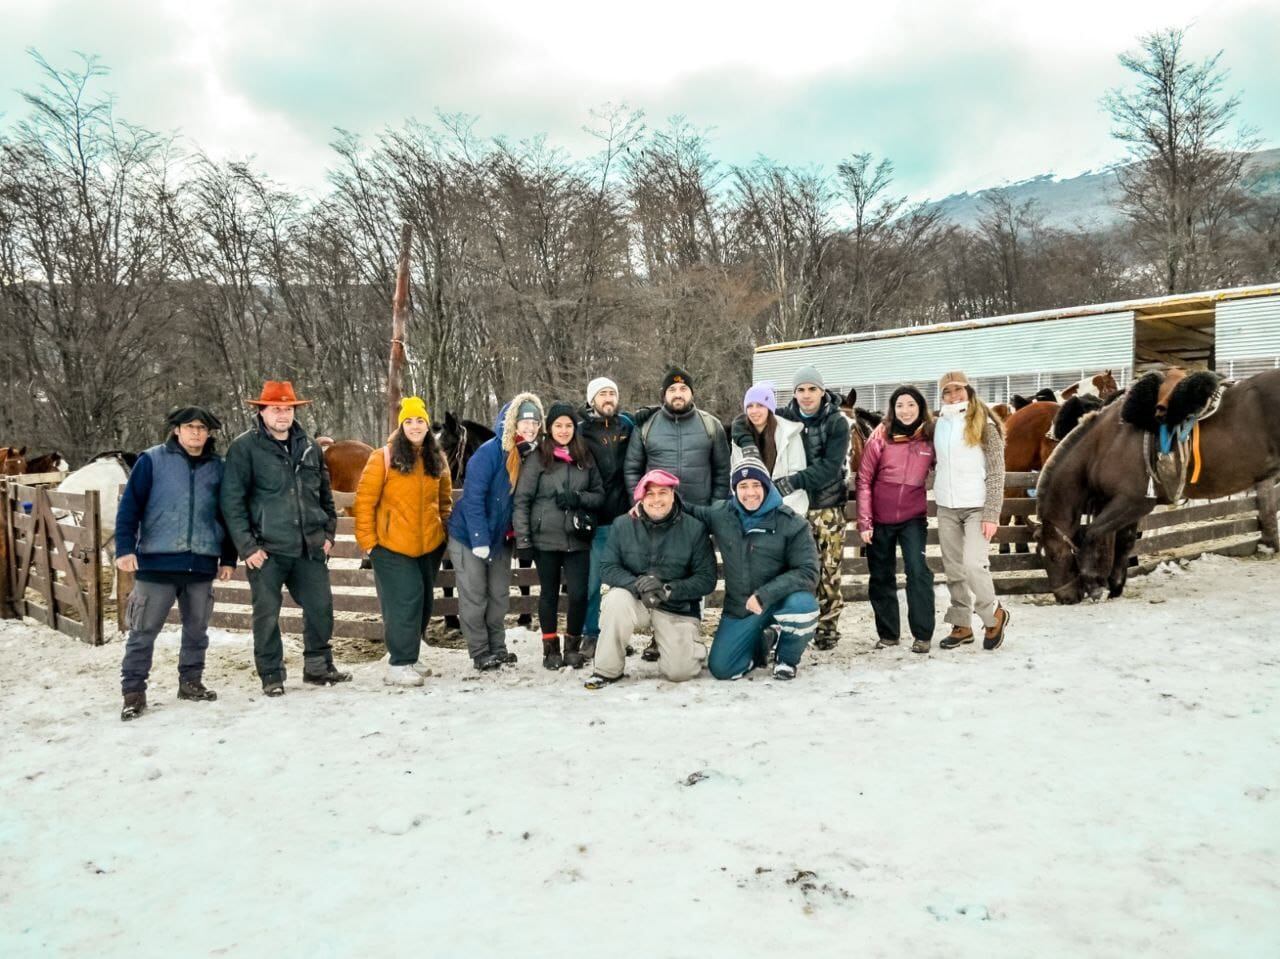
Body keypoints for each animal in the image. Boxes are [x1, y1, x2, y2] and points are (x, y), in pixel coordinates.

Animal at [1034, 371, 1274, 601]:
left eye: (1052, 556)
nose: (1064, 597)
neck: (1105, 444)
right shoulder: (1128, 508)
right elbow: (1124, 543)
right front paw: (1115, 587)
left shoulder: (1132, 502)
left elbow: (1093, 533)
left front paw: (1094, 585)